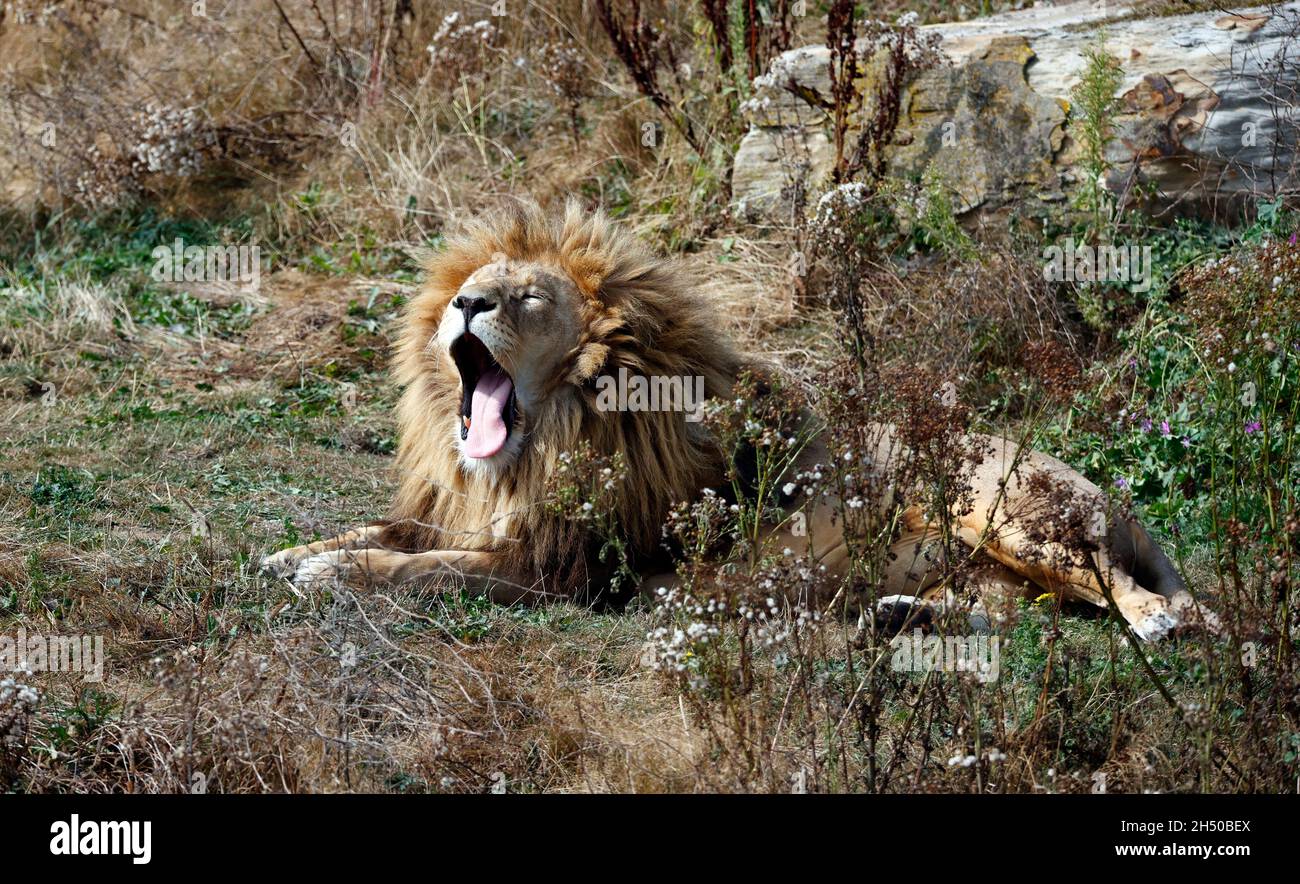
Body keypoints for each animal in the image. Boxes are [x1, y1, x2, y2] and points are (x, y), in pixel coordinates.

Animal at [260, 199, 1210, 641]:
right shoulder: (460, 512)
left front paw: (334, 575)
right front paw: (291, 553)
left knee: (1139, 597)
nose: (466, 305)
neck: (533, 451)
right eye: (469, 285)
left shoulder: (568, 570)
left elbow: (430, 571)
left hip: (1004, 508)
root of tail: (1117, 503)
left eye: (527, 297)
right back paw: (901, 615)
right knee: (1022, 613)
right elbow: (387, 532)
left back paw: (1162, 623)